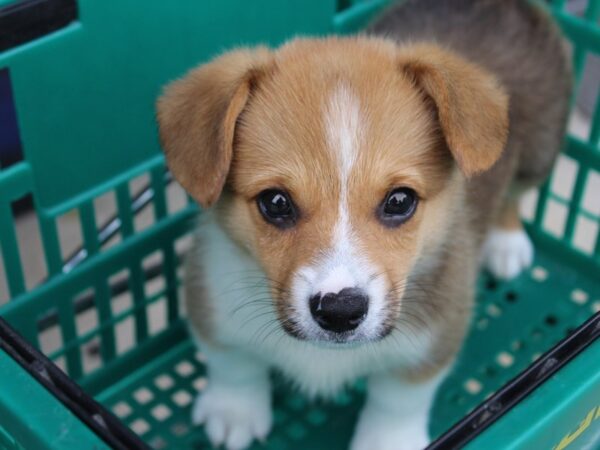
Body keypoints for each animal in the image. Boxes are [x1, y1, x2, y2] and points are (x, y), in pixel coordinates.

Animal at [157, 1, 568, 448]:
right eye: (276, 202)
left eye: (400, 201)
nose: (340, 311)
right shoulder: (213, 307)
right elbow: (234, 366)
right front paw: (235, 412)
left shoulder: (430, 341)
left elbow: (397, 401)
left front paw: (387, 440)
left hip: (538, 153)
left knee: (514, 196)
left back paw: (507, 244)